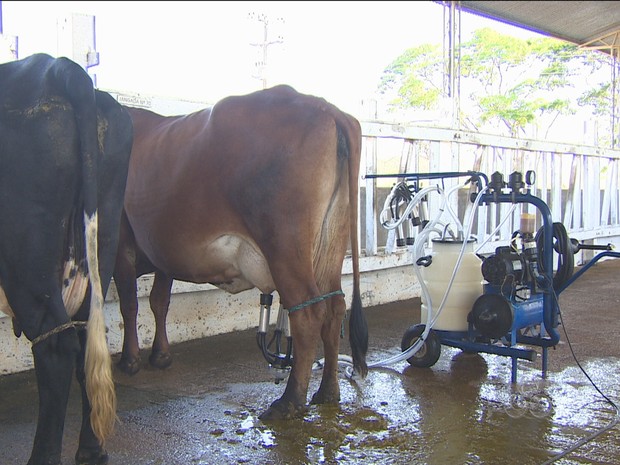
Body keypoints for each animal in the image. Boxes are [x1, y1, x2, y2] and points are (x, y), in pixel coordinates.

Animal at [0, 54, 133, 464]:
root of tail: (56, 66)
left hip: (25, 259)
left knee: (56, 350)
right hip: (102, 241)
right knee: (85, 338)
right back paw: (91, 450)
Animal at [114, 85, 368, 418]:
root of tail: (325, 107)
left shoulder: (119, 245)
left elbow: (130, 304)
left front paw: (129, 360)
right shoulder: (162, 252)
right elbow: (159, 301)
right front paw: (160, 355)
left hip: (284, 245)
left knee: (309, 313)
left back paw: (289, 401)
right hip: (330, 244)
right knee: (335, 307)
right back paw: (327, 392)